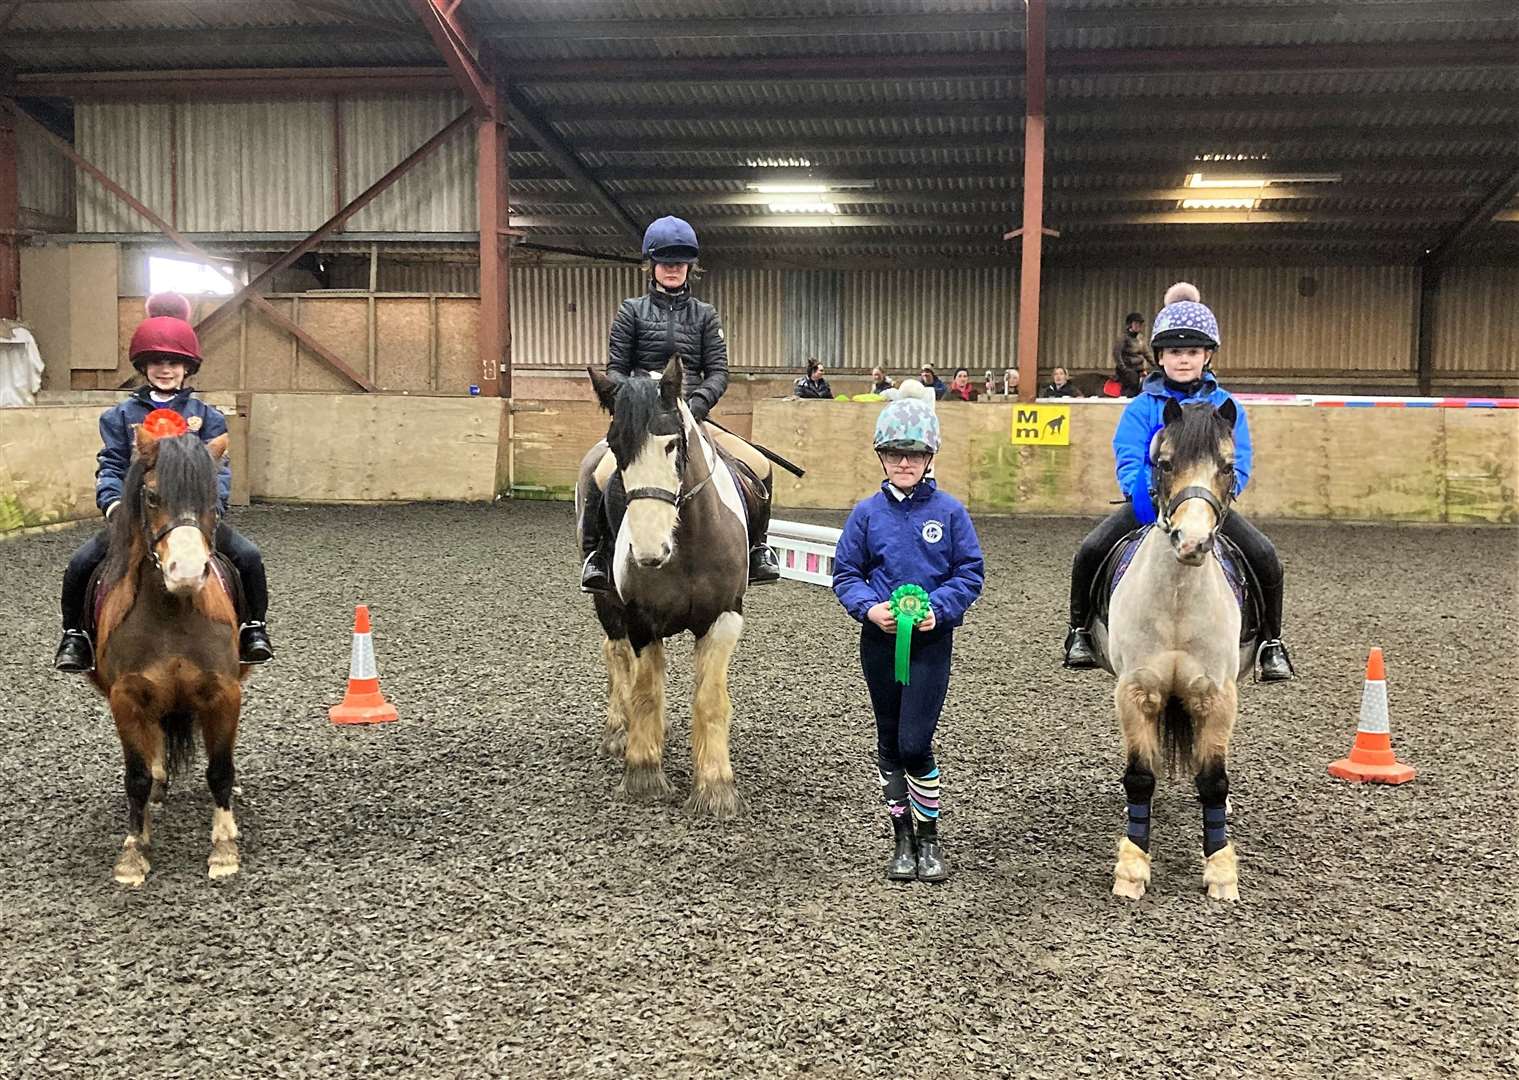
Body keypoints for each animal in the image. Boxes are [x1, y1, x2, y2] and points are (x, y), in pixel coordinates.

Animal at [93, 422, 244, 887]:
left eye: (212, 500)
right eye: (153, 497)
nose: (188, 573)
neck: (172, 610)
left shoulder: (224, 694)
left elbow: (220, 770)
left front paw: (224, 849)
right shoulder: (126, 699)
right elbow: (137, 777)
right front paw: (133, 853)